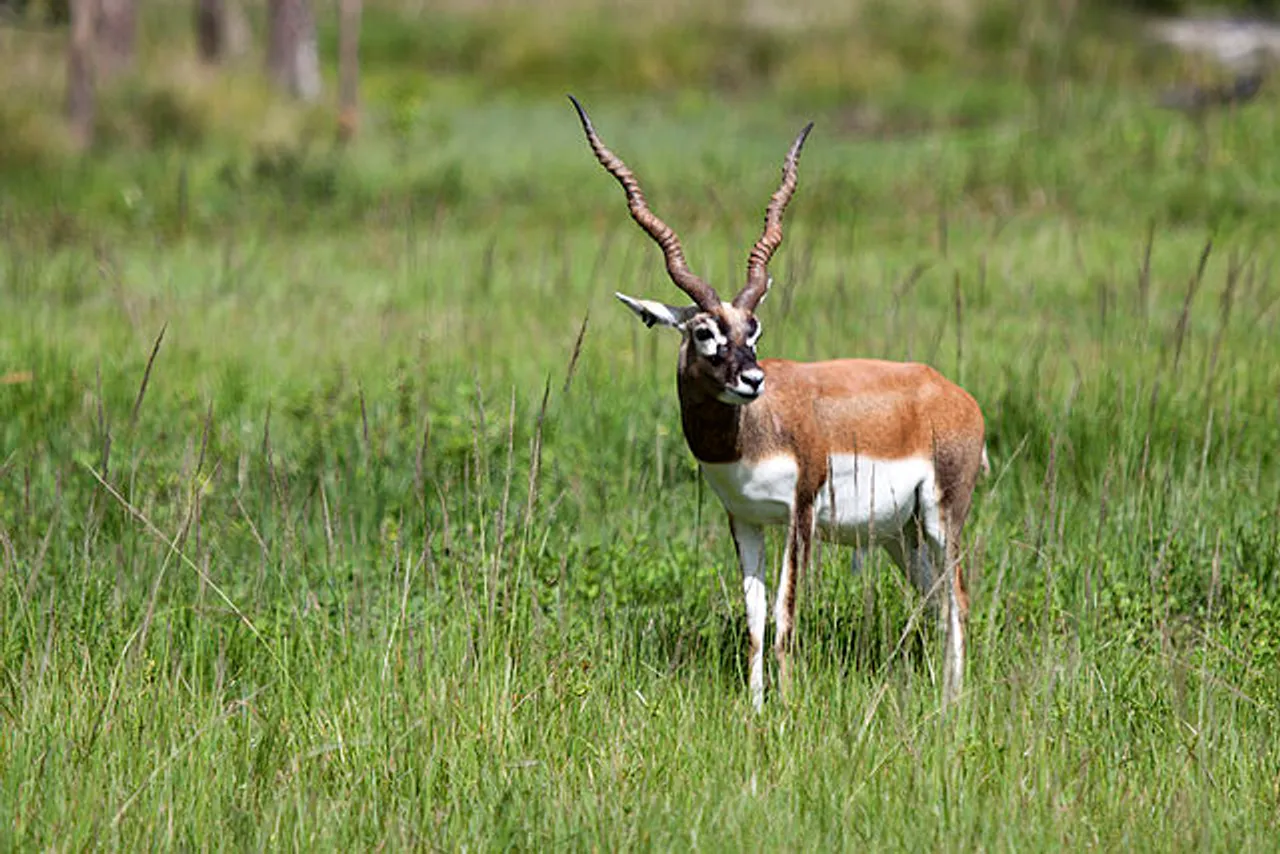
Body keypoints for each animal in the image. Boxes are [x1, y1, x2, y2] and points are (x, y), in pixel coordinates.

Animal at [570, 93, 988, 711]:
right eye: (704, 332)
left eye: (754, 328)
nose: (752, 379)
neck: (749, 435)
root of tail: (955, 395)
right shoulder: (744, 519)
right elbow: (754, 619)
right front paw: (756, 707)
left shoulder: (801, 514)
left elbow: (786, 618)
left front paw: (789, 708)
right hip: (899, 533)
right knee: (936, 598)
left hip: (942, 515)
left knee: (958, 597)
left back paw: (953, 705)